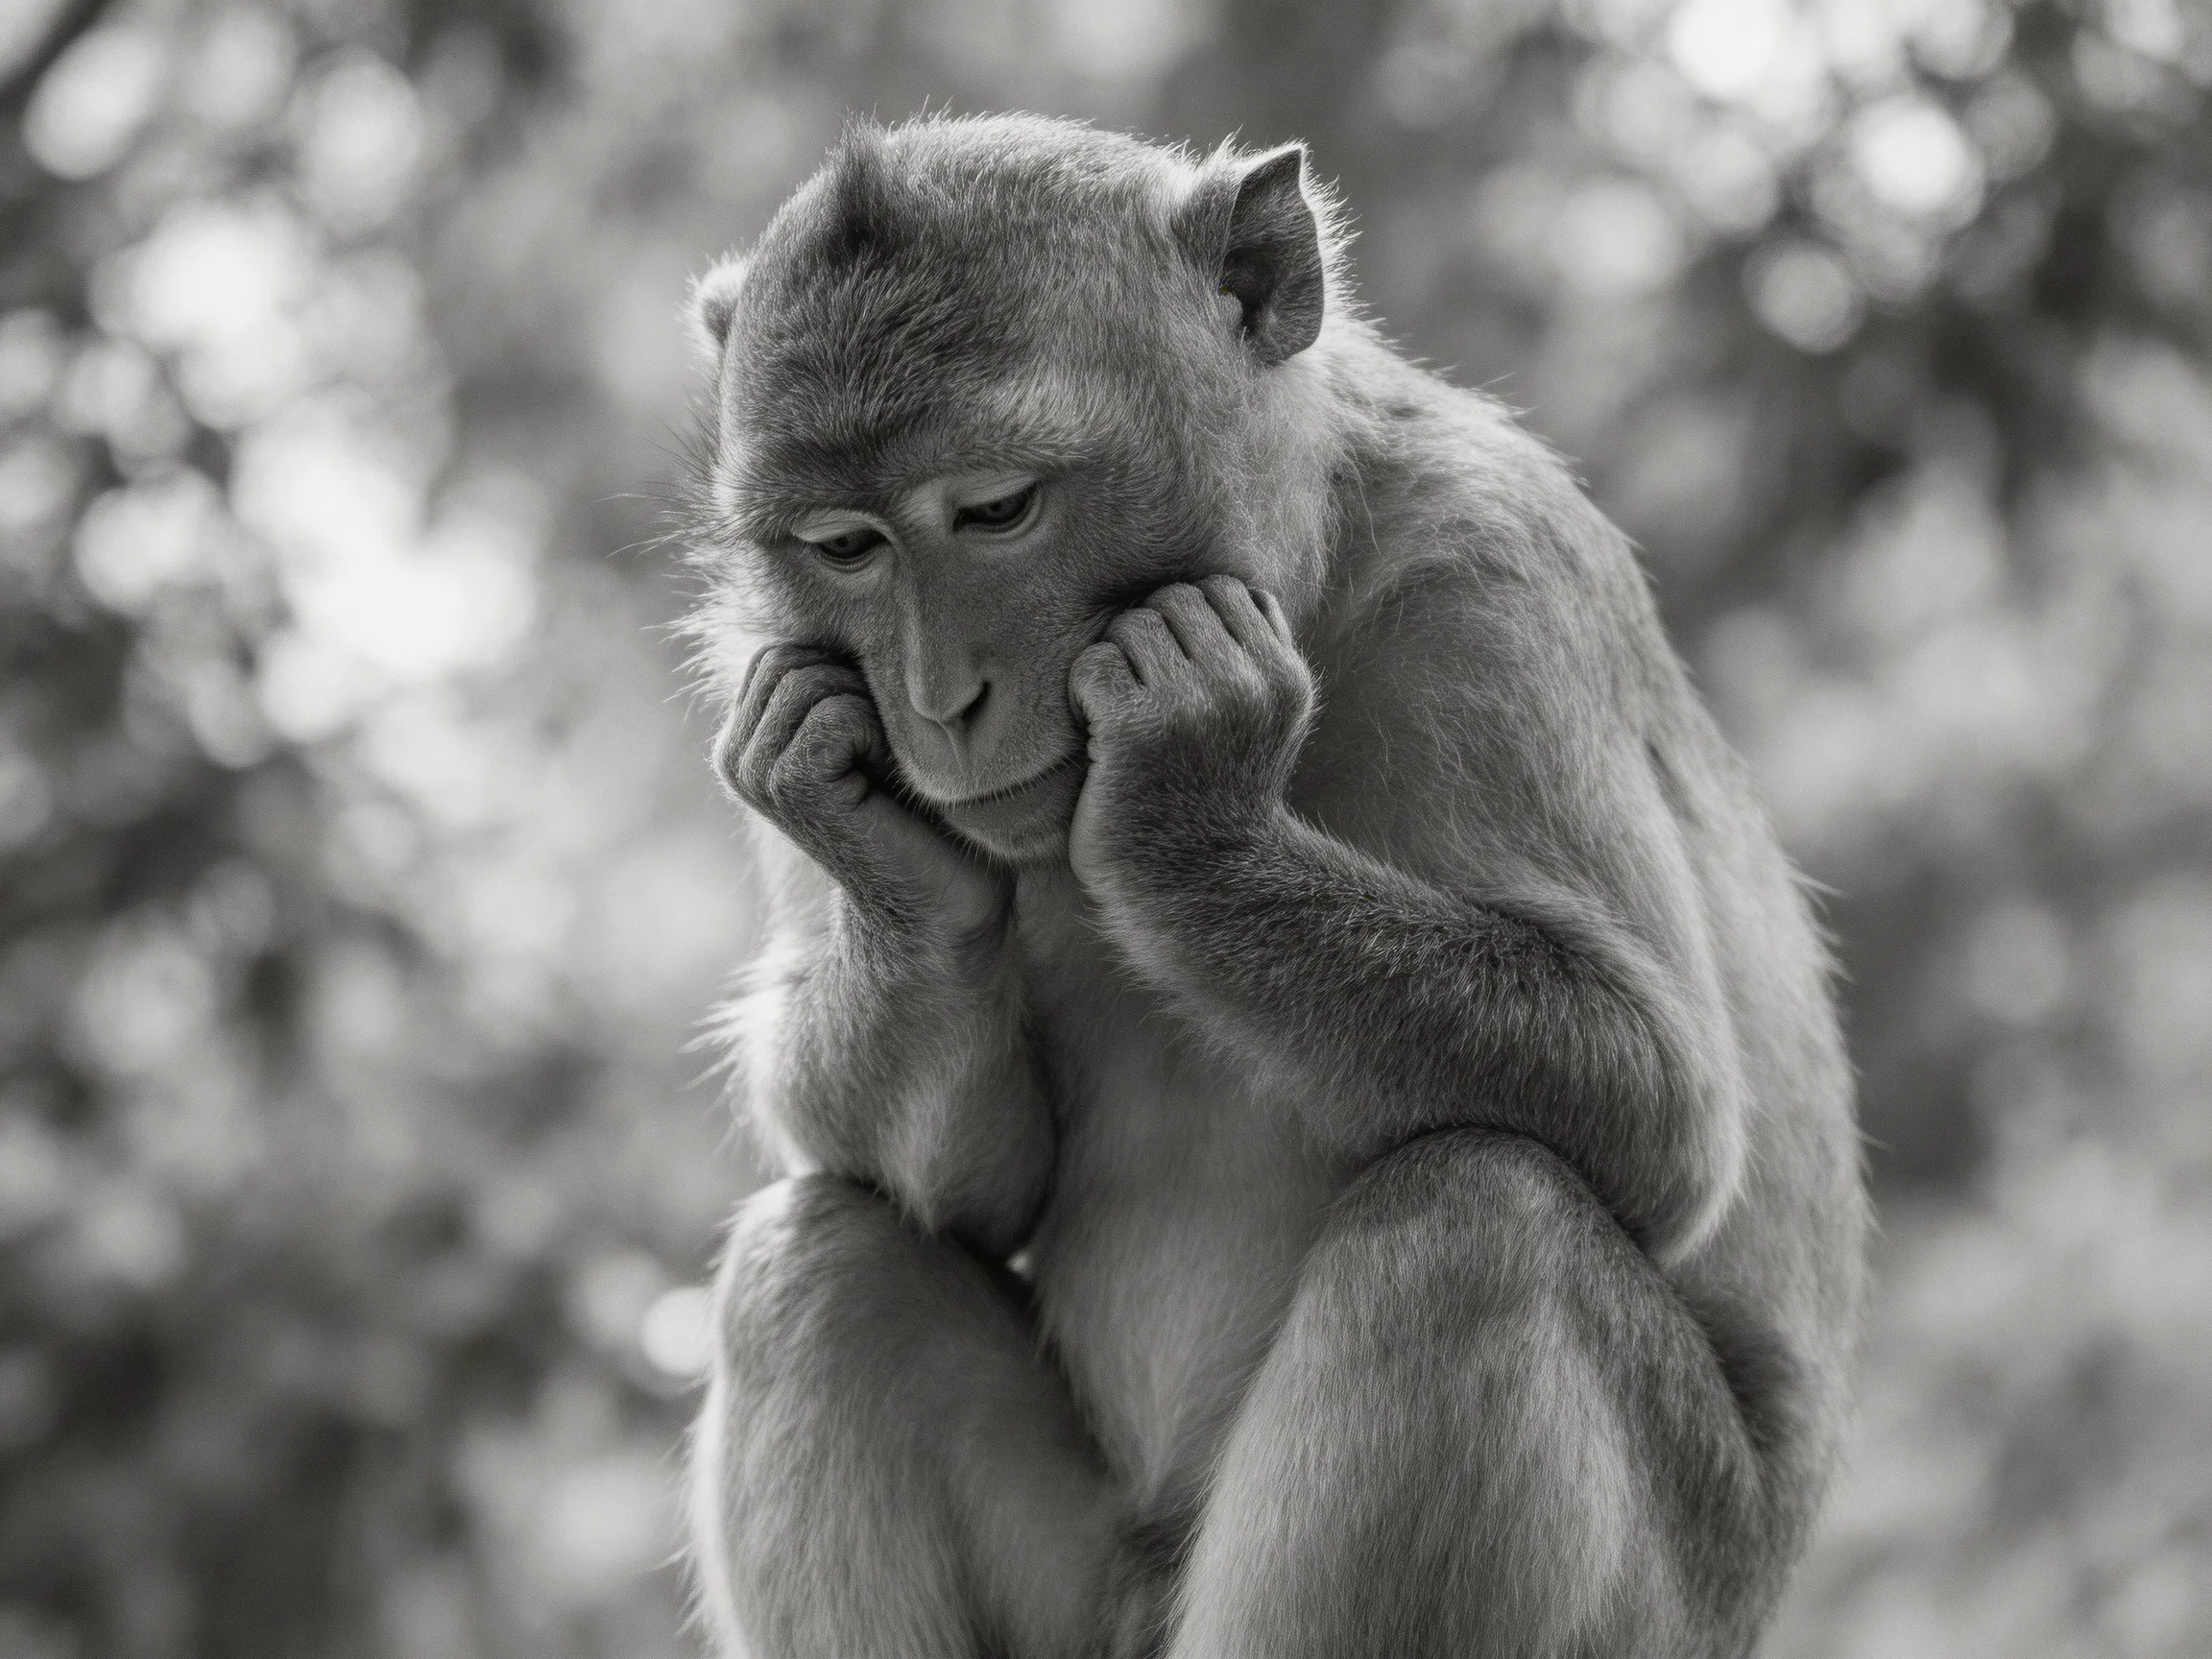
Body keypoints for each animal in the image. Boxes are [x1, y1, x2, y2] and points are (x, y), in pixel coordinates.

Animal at [680, 113, 1867, 1659]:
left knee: (1479, 1228)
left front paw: (1181, 810)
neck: (1304, 568)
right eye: (845, 547)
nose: (939, 704)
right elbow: (948, 1185)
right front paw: (884, 856)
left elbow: (1664, 1113)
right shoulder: (763, 658)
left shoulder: (1491, 576)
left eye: (995, 510)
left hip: (1675, 1593)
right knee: (821, 1254)